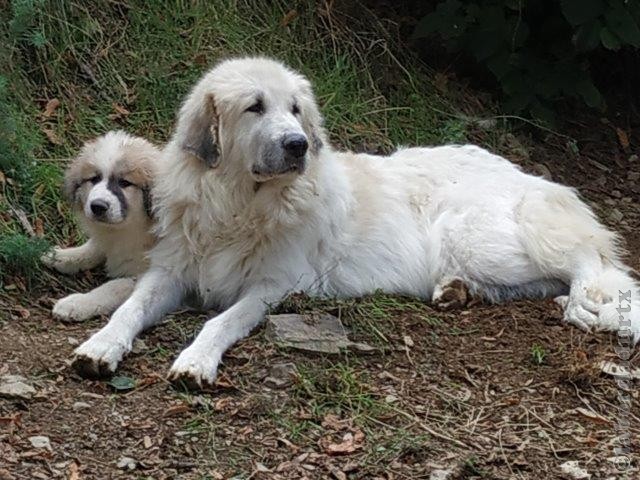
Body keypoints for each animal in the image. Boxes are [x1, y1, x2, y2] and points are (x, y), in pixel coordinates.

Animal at [44, 129, 159, 320]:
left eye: (124, 183)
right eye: (94, 179)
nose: (97, 206)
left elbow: (114, 286)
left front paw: (77, 303)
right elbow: (92, 248)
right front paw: (61, 256)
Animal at [71, 57, 640, 386]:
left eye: (295, 109)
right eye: (254, 107)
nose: (298, 144)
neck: (239, 204)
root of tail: (527, 174)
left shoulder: (270, 286)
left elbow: (220, 321)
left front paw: (196, 361)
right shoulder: (172, 272)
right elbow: (130, 308)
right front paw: (99, 346)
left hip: (475, 235)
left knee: (589, 265)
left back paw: (583, 304)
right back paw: (458, 291)